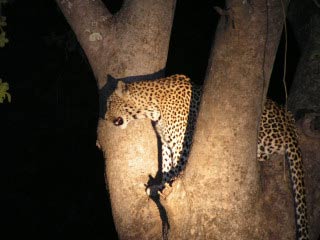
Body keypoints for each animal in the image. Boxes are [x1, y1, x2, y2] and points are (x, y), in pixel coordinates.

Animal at [104, 74, 308, 239]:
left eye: (109, 104)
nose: (104, 119)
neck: (151, 107)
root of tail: (291, 130)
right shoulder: (166, 142)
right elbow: (167, 166)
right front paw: (161, 183)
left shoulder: (181, 140)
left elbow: (177, 166)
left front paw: (164, 184)